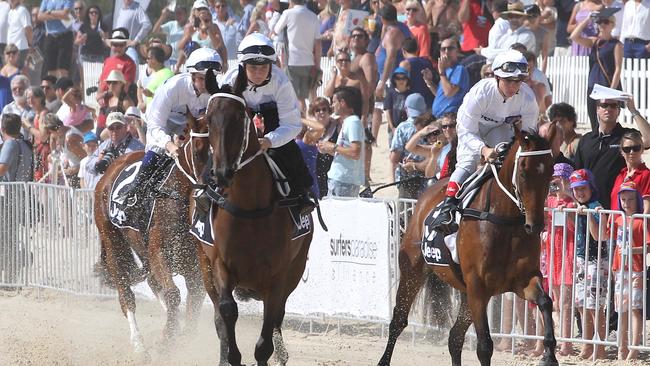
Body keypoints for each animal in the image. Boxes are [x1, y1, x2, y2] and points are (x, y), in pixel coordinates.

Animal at [93, 113, 209, 356]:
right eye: (199, 150)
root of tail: (109, 169)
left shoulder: (194, 266)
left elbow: (193, 302)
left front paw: (180, 336)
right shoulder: (159, 252)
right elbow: (174, 294)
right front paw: (167, 339)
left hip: (139, 246)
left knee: (154, 284)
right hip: (113, 242)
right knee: (126, 293)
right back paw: (138, 342)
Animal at [192, 76, 312, 364]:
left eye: (239, 117)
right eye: (209, 119)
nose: (222, 173)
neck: (249, 209)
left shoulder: (278, 276)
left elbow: (267, 333)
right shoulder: (220, 264)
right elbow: (226, 310)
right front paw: (231, 355)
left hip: (296, 268)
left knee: (278, 317)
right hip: (204, 267)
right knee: (218, 315)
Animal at [380, 123, 556, 366]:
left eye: (550, 171)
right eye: (523, 171)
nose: (536, 225)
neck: (503, 223)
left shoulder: (522, 280)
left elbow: (546, 302)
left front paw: (549, 355)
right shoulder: (478, 287)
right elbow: (484, 347)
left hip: (465, 293)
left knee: (454, 336)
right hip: (413, 272)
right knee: (398, 320)